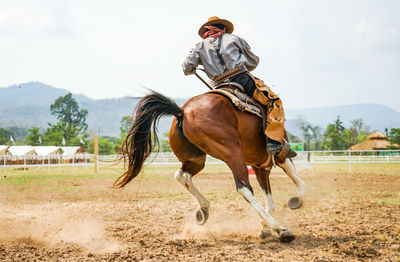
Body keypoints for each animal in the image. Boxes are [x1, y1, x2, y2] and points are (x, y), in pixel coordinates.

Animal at [112, 90, 306, 244]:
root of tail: (182, 112)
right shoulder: (280, 157)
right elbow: (298, 180)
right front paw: (296, 202)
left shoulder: (260, 167)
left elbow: (271, 201)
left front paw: (264, 228)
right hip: (233, 154)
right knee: (243, 187)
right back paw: (281, 229)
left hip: (197, 159)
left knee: (181, 175)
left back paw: (204, 209)